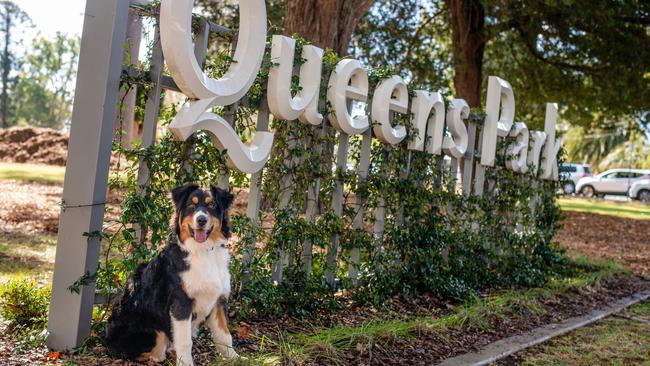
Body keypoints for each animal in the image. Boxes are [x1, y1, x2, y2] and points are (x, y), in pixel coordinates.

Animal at [104, 184, 238, 364]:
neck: (202, 251)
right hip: (152, 328)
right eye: (191, 205)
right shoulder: (180, 303)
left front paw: (235, 358)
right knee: (151, 354)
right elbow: (184, 341)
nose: (201, 220)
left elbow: (224, 335)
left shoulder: (218, 300)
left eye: (211, 205)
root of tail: (105, 339)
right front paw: (186, 363)